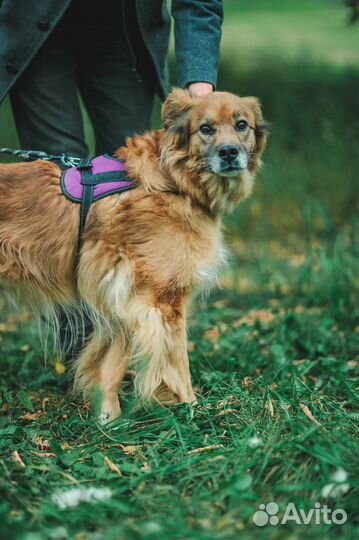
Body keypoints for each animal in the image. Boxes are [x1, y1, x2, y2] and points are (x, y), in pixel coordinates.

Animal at [0, 89, 268, 422]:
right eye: (206, 129)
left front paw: (108, 419)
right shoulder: (161, 301)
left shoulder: (124, 296)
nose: (229, 153)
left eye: (241, 124)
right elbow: (177, 363)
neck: (171, 180)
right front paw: (191, 409)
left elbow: (111, 364)